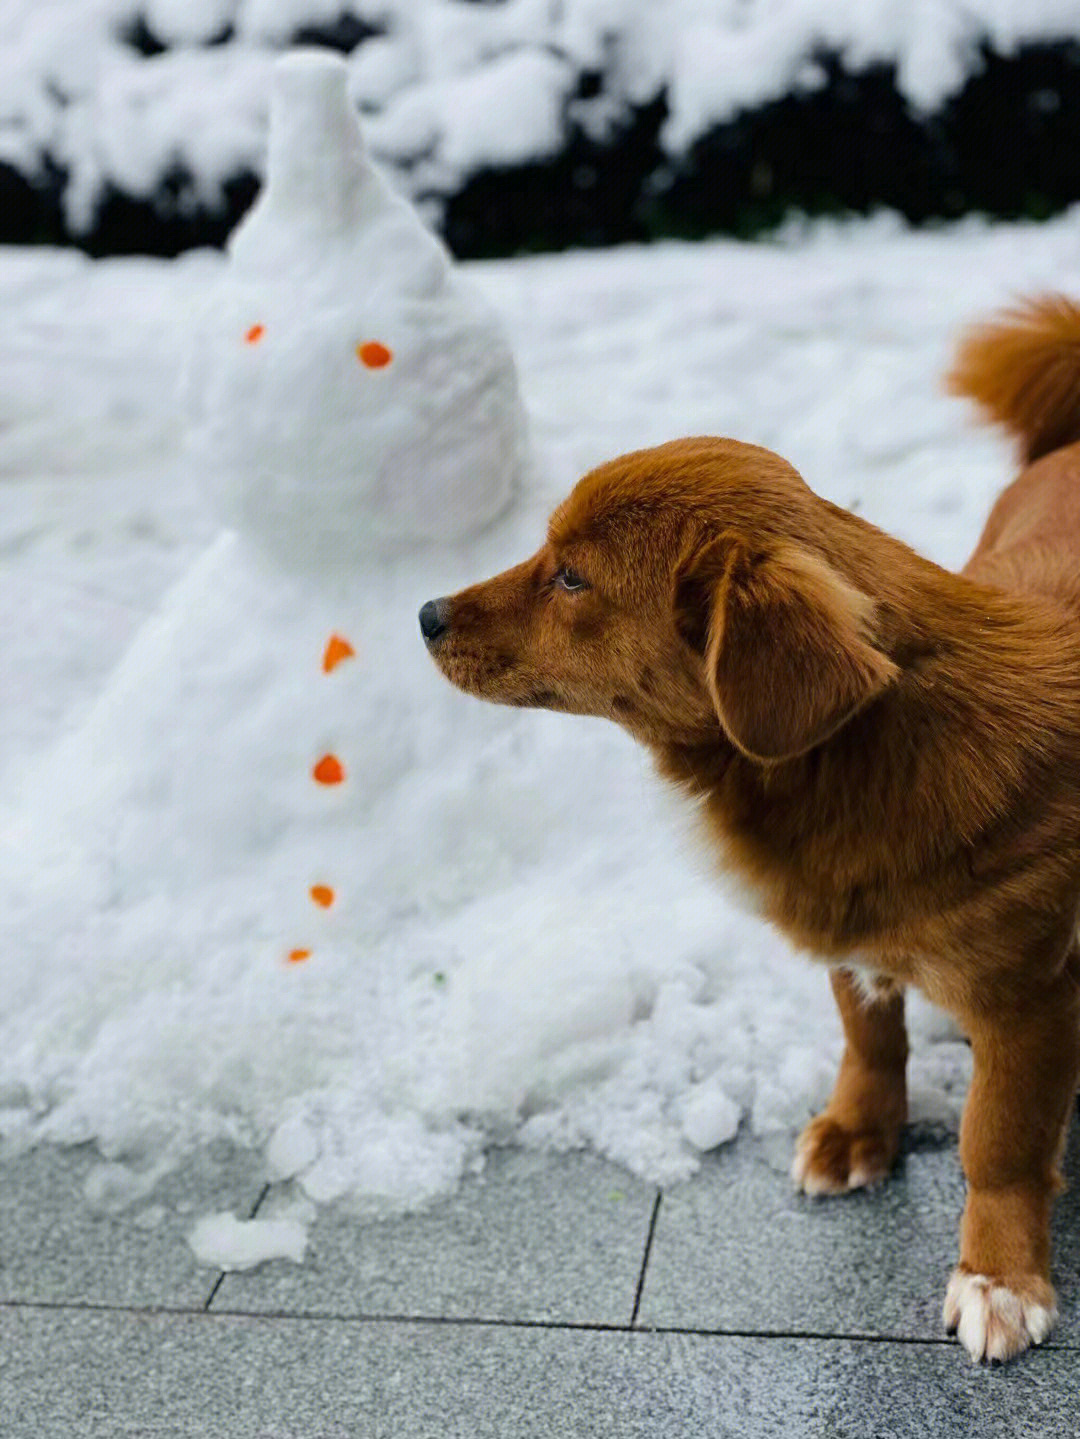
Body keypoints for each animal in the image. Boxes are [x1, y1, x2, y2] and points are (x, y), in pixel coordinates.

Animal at [419, 297, 1080, 1364]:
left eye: (572, 578)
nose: (426, 613)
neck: (853, 761)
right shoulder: (851, 929)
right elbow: (868, 1034)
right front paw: (858, 1132)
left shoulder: (1028, 998)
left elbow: (1000, 1142)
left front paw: (999, 1277)